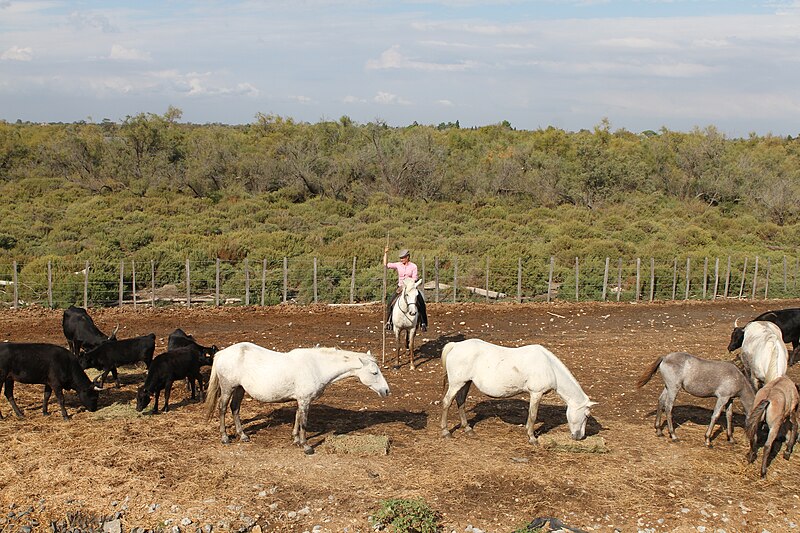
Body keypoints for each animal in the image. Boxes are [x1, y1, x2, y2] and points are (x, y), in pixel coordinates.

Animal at [205, 340, 390, 454]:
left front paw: (295, 440)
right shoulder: (305, 400)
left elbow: (297, 418)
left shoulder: (301, 400)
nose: (386, 391)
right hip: (228, 388)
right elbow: (304, 422)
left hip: (240, 389)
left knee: (235, 409)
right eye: (374, 372)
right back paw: (225, 437)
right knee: (223, 408)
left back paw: (243, 435)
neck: (316, 366)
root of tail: (221, 354)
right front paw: (306, 446)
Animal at [440, 338, 596, 442]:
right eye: (586, 415)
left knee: (461, 402)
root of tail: (455, 345)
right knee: (447, 402)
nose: (580, 437)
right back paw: (446, 432)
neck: (549, 367)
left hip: (465, 382)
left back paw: (468, 429)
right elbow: (533, 415)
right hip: (456, 383)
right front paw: (532, 438)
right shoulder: (536, 393)